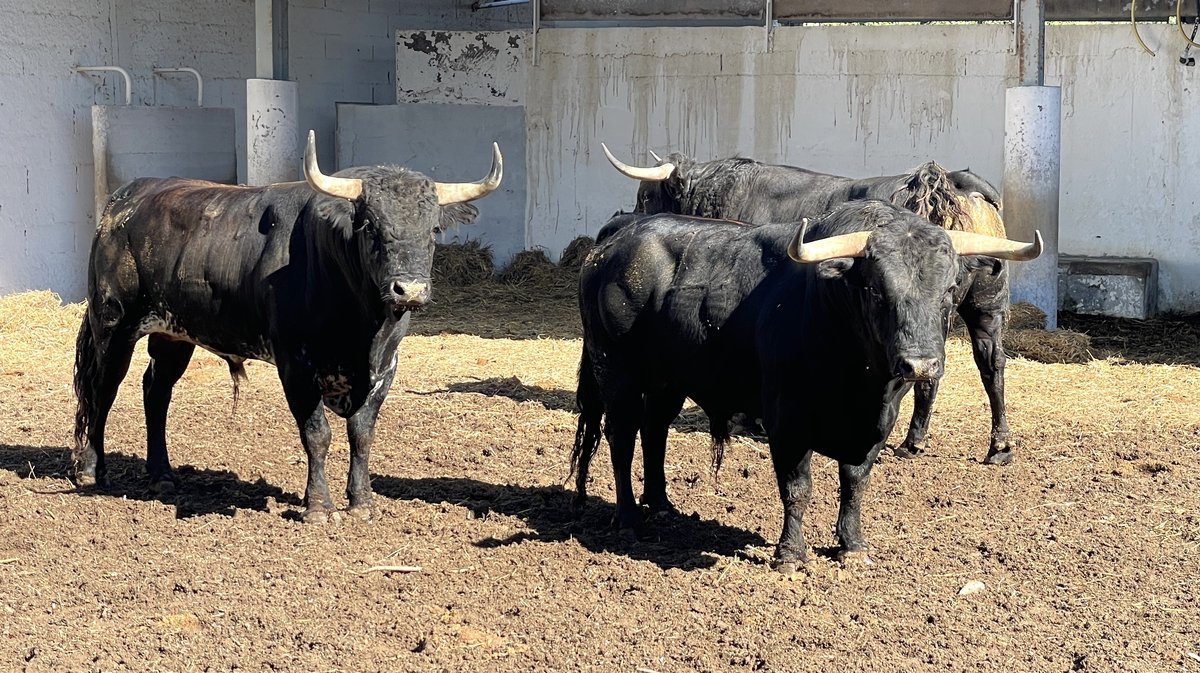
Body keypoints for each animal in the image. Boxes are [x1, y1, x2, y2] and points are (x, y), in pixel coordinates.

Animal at [71, 130, 501, 520]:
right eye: (369, 226)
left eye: (433, 229)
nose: (408, 289)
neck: (362, 330)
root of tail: (125, 199)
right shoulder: (296, 363)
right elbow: (317, 433)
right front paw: (319, 507)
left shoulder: (385, 367)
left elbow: (362, 433)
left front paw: (362, 503)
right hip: (113, 324)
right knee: (102, 390)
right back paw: (92, 470)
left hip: (172, 334)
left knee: (156, 390)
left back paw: (162, 475)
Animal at [571, 199, 1041, 566]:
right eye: (876, 290)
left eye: (948, 290)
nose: (920, 365)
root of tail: (617, 239)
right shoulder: (787, 420)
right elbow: (797, 488)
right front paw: (790, 553)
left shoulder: (877, 424)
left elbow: (855, 483)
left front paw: (852, 545)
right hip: (616, 371)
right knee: (621, 437)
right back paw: (630, 519)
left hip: (668, 380)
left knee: (655, 432)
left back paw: (663, 506)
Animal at [604, 145, 1017, 465]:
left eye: (646, 195)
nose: (625, 218)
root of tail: (946, 185)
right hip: (986, 304)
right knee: (990, 363)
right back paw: (998, 446)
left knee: (935, 374)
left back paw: (913, 441)